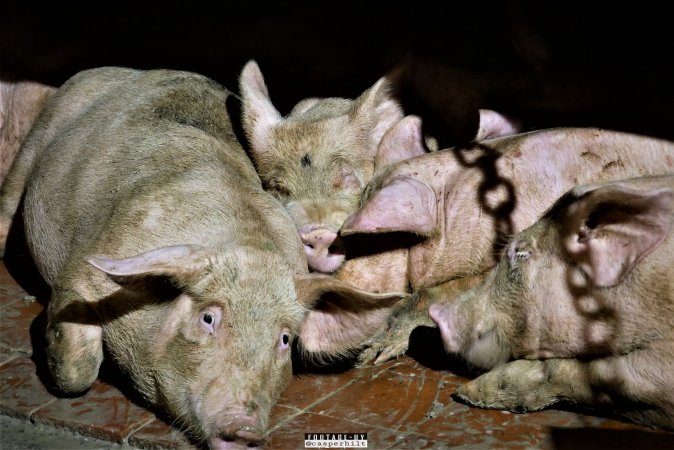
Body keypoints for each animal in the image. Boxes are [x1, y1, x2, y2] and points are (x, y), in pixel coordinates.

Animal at [0, 65, 404, 448]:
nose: (244, 428)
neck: (246, 247)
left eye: (285, 339)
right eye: (208, 317)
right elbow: (78, 369)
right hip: (35, 141)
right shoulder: (89, 265)